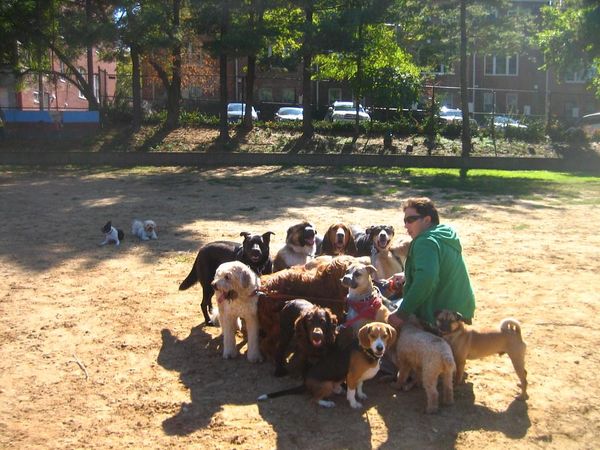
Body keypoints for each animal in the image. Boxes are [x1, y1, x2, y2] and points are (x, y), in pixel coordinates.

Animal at [258, 322, 396, 410]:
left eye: (385, 336)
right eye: (372, 336)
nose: (380, 348)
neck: (366, 352)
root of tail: (305, 383)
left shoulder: (360, 376)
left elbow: (360, 386)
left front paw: (361, 394)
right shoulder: (352, 377)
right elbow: (351, 392)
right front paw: (353, 404)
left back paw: (338, 389)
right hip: (326, 385)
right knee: (314, 399)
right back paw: (327, 403)